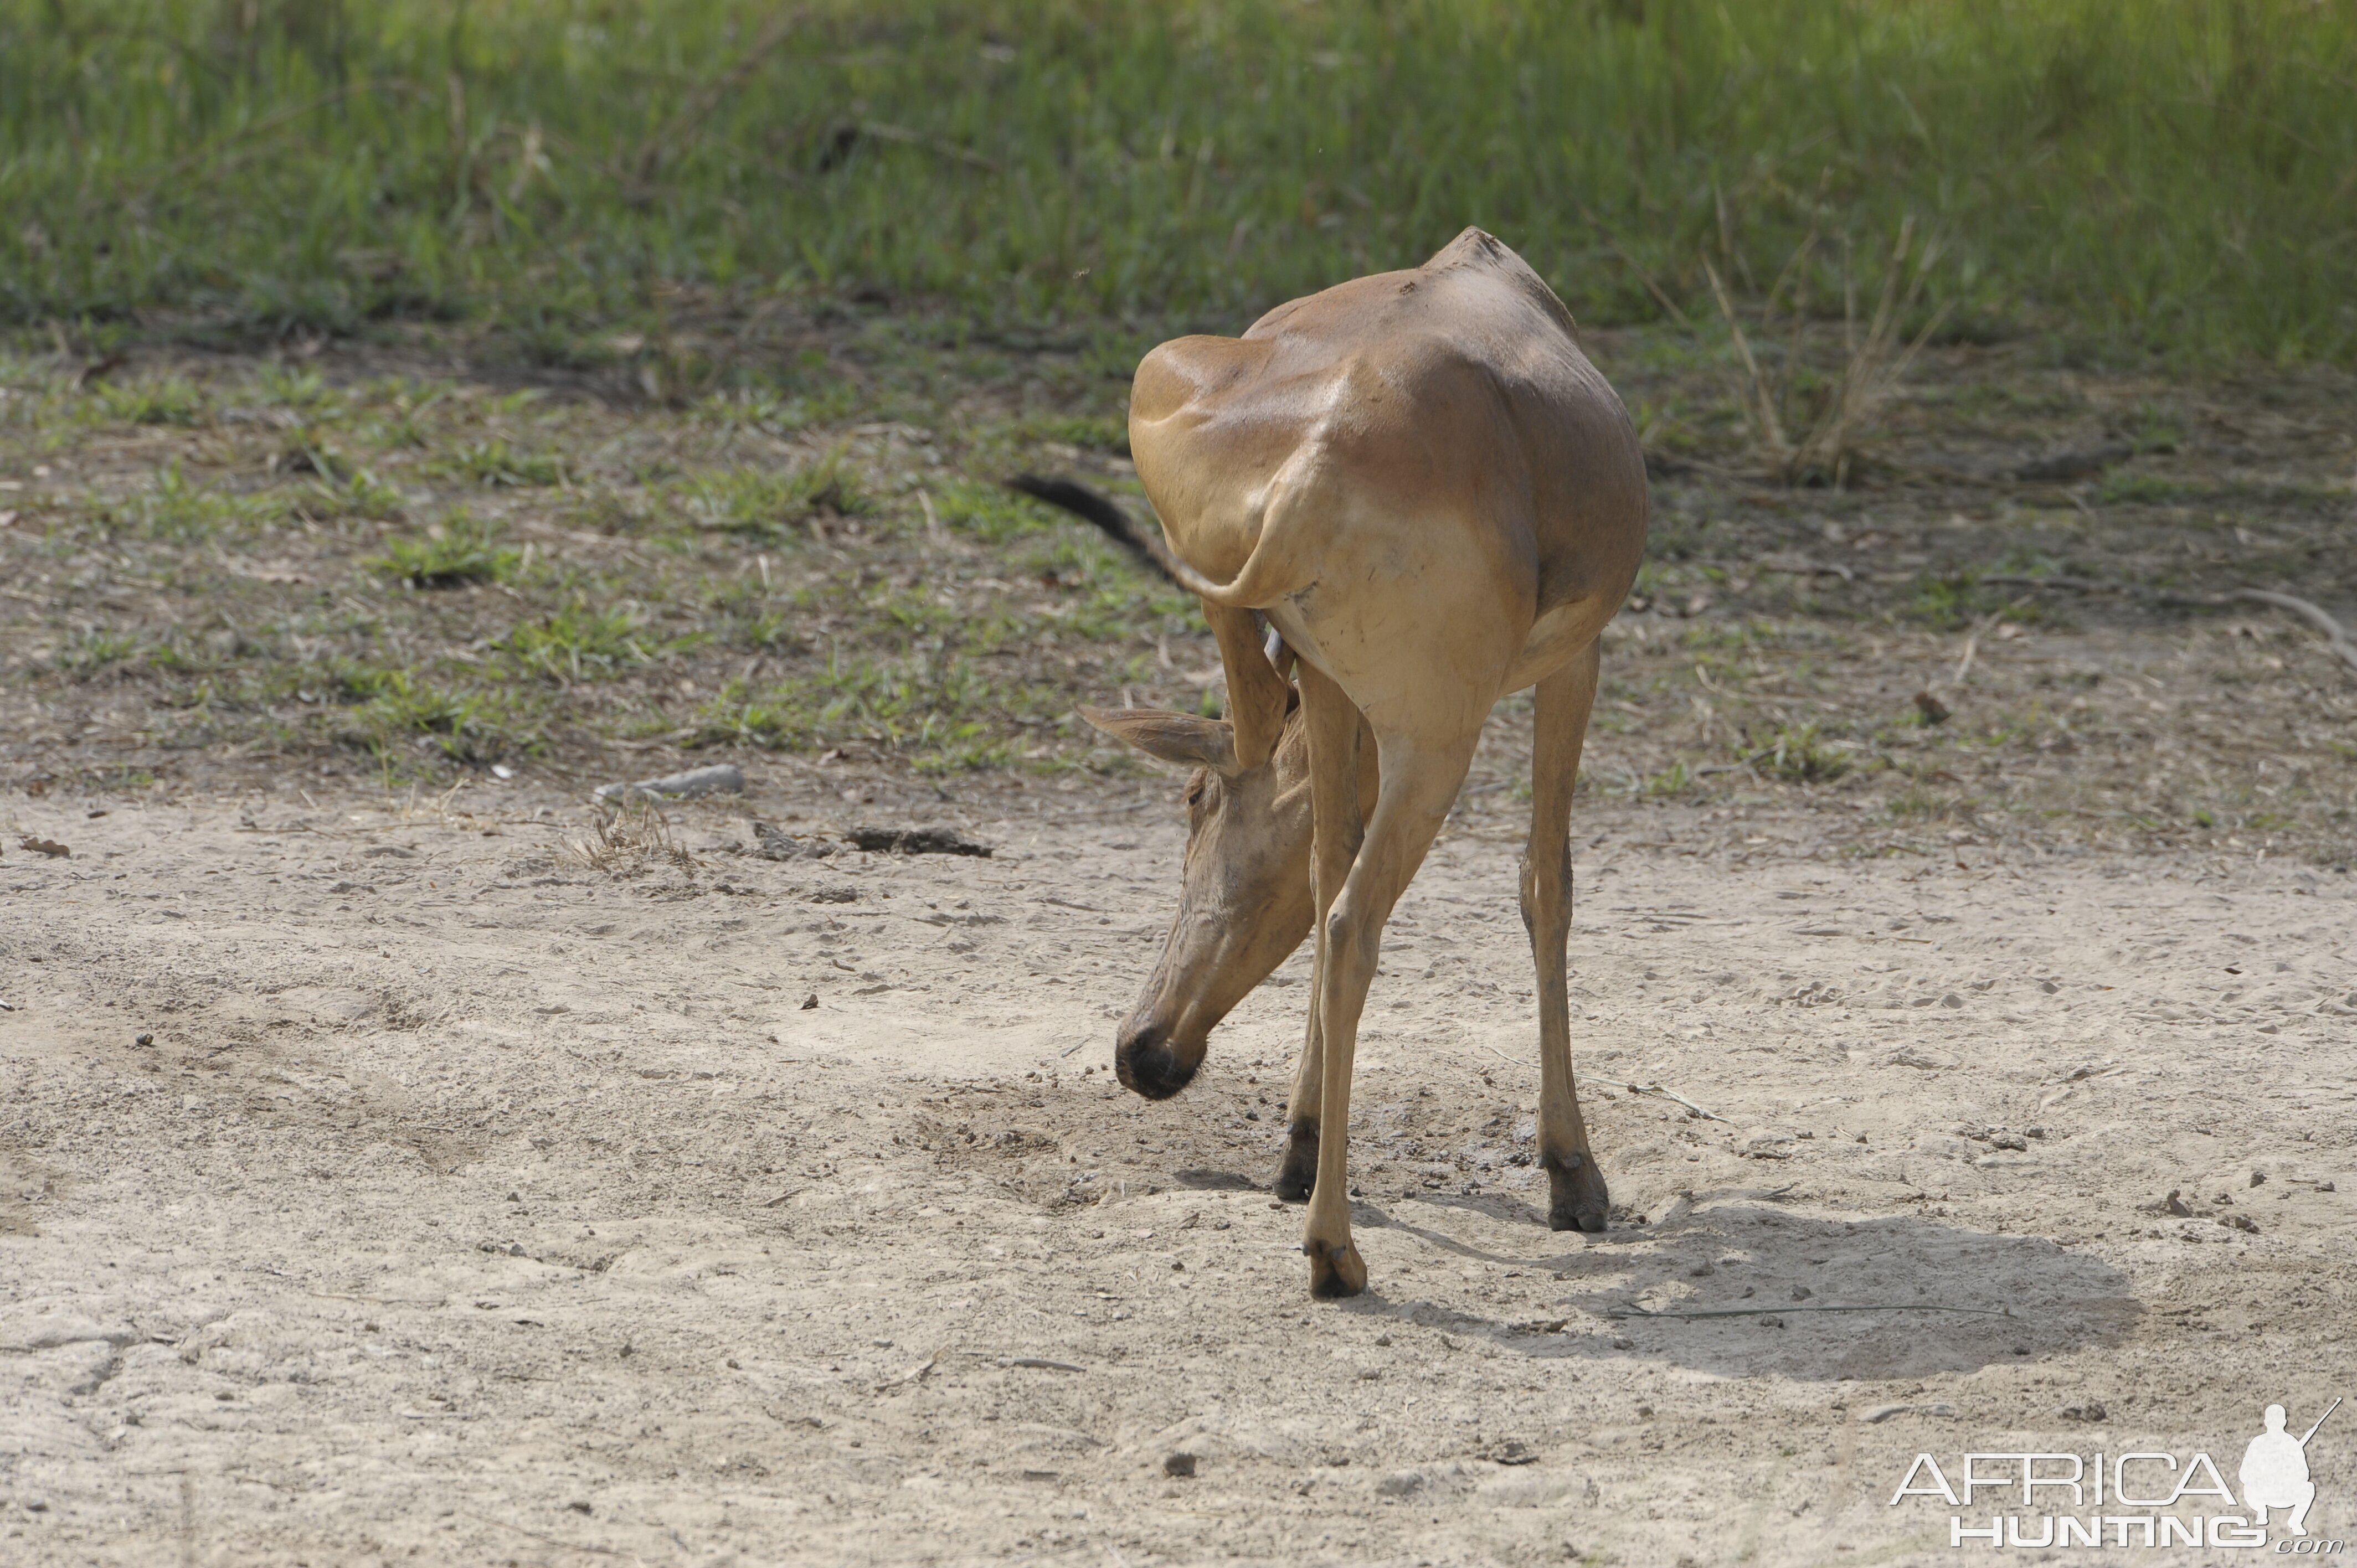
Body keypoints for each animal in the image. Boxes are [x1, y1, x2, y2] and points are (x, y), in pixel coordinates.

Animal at [1008, 226, 1640, 1292]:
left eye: (1191, 795)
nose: (1147, 1053)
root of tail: (1313, 466)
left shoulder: (1332, 685)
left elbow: (1319, 853)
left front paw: (1296, 1145)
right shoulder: (1574, 662)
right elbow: (1543, 884)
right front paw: (1573, 1177)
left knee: (1311, 832)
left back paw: (1310, 1180)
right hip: (1442, 737)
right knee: (1353, 926)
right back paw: (1334, 1253)